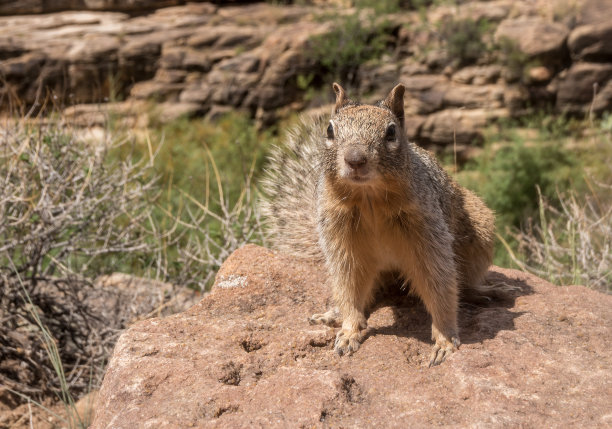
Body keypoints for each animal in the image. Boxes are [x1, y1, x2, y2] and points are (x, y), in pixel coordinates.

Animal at [262, 83, 498, 364]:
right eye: (329, 129)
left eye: (391, 131)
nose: (355, 159)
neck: (369, 199)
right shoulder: (342, 241)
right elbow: (349, 287)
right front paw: (349, 331)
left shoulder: (428, 233)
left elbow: (439, 281)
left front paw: (445, 339)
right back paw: (332, 315)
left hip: (481, 236)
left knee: (465, 281)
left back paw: (485, 292)